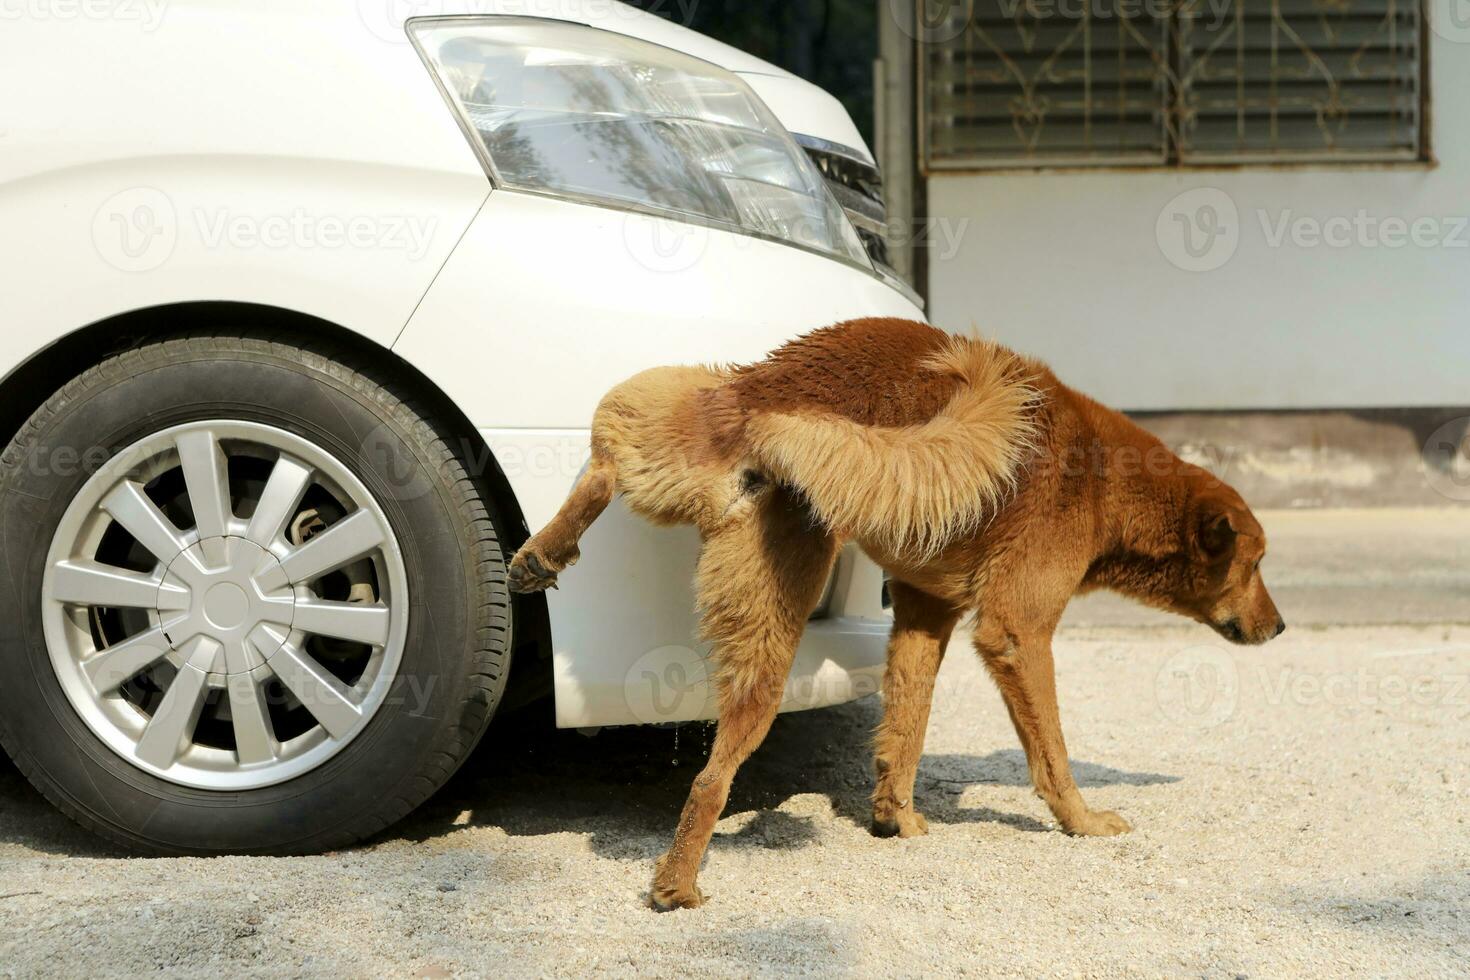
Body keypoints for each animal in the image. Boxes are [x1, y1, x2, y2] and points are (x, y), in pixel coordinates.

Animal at [508, 320, 1287, 910]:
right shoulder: (1017, 632)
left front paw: (895, 818)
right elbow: (1052, 754)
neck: (1105, 478)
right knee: (711, 776)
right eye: (1256, 563)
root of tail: (763, 406)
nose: (1280, 628)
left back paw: (543, 551)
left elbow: (907, 729)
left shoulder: (923, 610)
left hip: (698, 471)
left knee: (610, 453)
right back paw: (679, 886)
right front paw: (1083, 821)